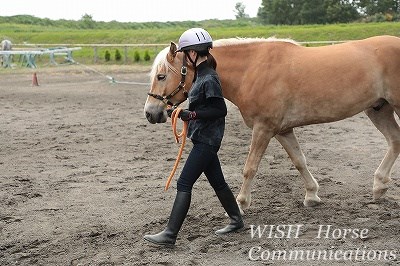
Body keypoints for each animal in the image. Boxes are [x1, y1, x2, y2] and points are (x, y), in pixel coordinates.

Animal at [144, 35, 400, 212]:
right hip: (379, 109)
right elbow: (299, 161)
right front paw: (312, 195)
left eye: (161, 76)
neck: (251, 70)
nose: (150, 112)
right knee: (395, 141)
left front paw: (240, 205)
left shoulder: (263, 128)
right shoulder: (283, 130)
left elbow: (250, 167)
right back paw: (379, 187)